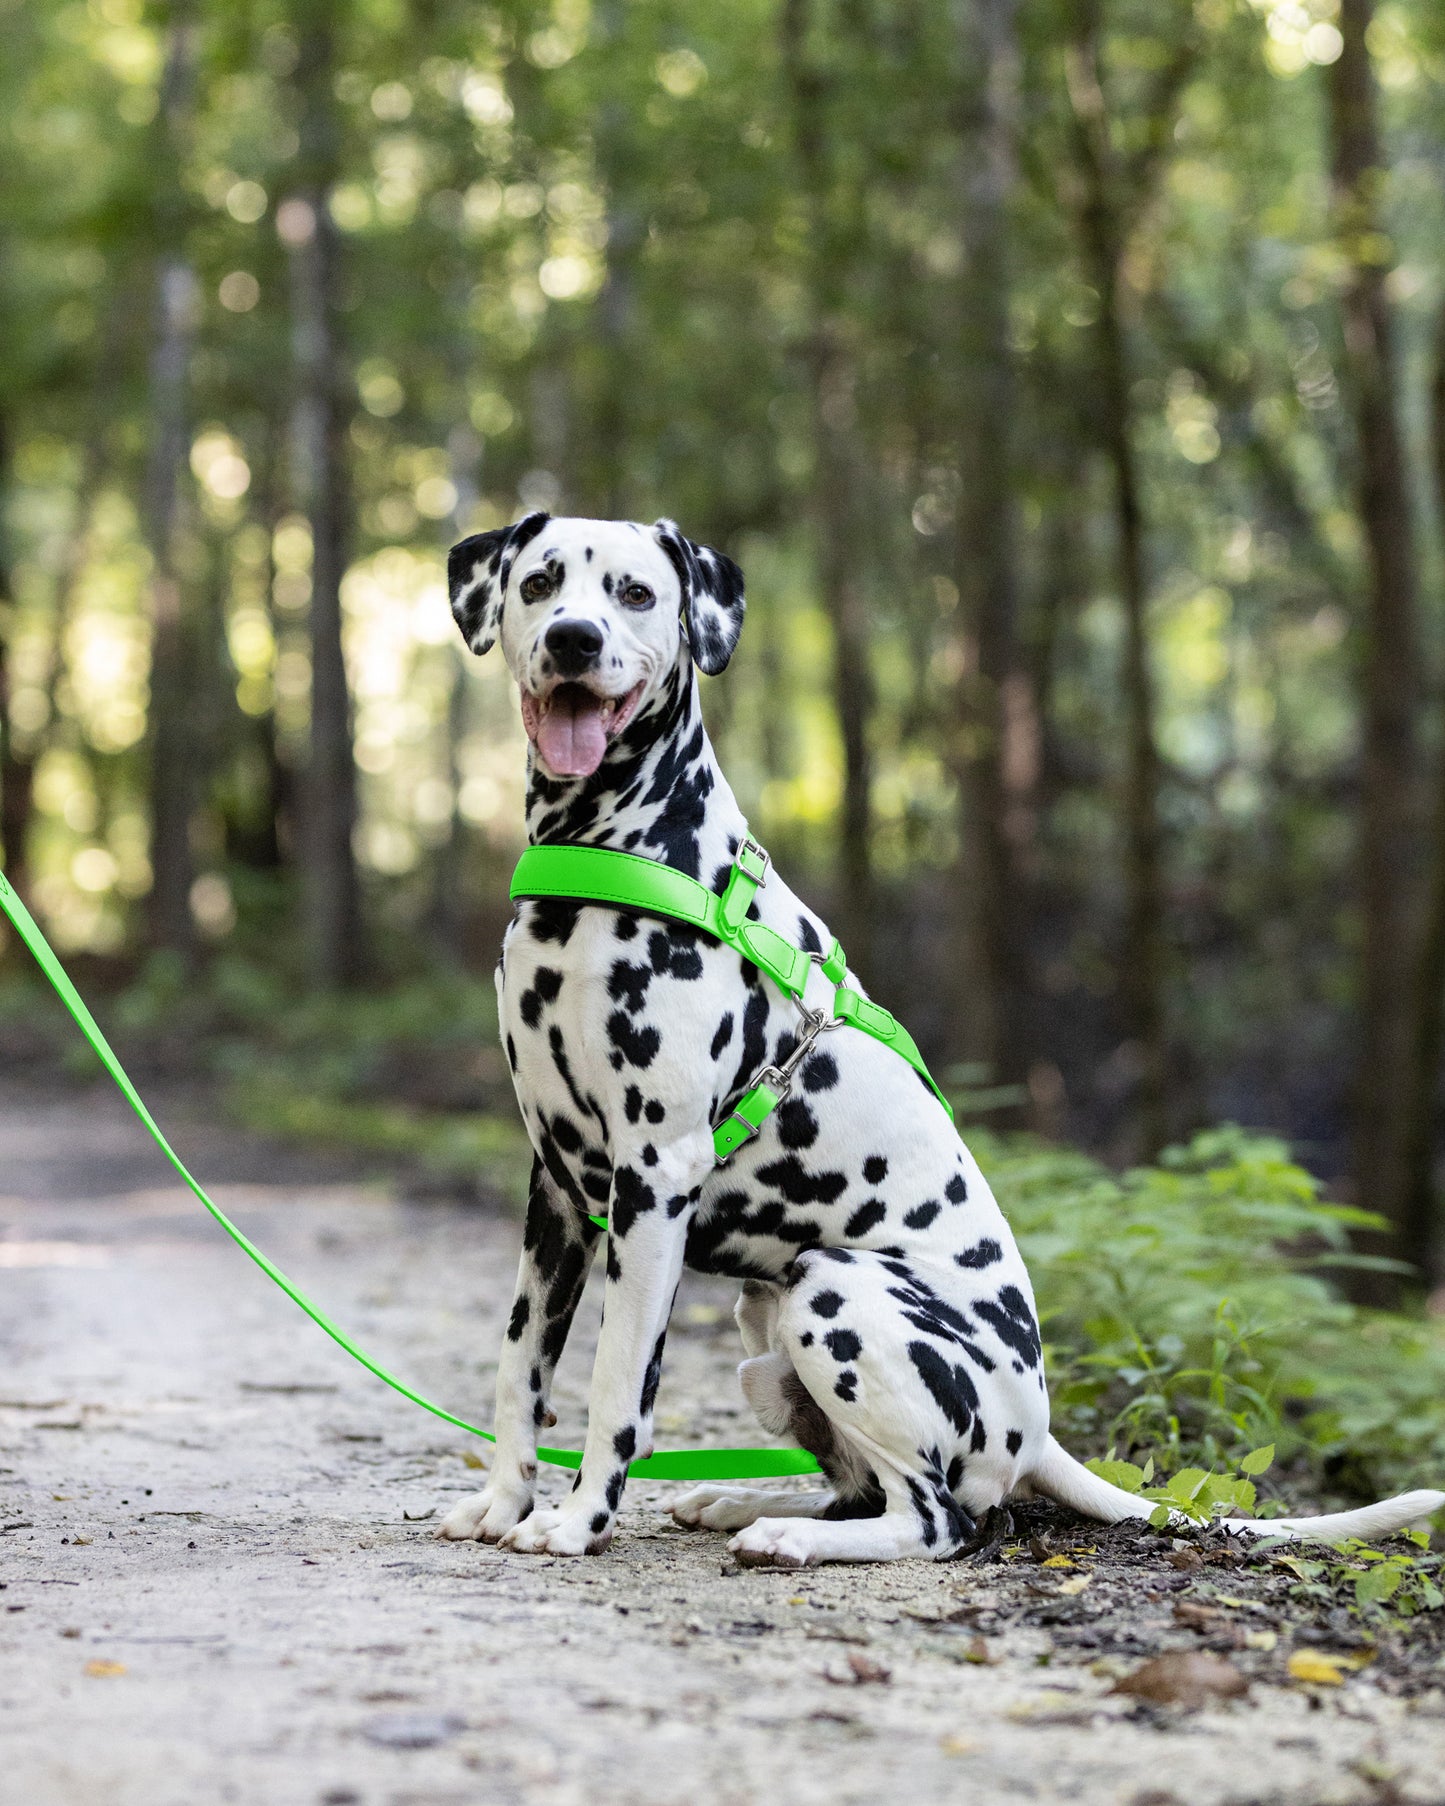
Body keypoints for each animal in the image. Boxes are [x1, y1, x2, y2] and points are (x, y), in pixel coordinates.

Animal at [435, 512, 1445, 1567]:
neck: (608, 854)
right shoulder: (557, 1187)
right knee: (857, 1490)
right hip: (766, 1324)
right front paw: (502, 1503)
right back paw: (745, 1504)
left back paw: (787, 1535)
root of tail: (1039, 1431)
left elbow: (616, 1383)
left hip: (832, 1291)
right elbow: (519, 1367)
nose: (572, 641)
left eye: (634, 594)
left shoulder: (652, 1179)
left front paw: (577, 1520)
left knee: (935, 1520)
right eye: (541, 582)